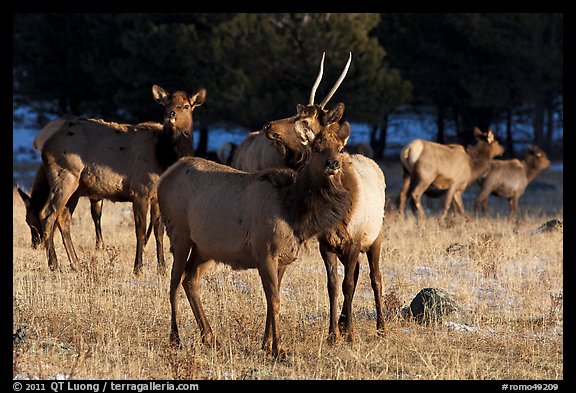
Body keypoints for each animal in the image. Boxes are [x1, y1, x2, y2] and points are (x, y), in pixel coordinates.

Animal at [36, 83, 207, 272]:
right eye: (166, 105)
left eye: (186, 106)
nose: (170, 115)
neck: (164, 158)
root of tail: (45, 147)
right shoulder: (140, 191)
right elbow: (140, 231)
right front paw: (138, 268)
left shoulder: (156, 197)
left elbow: (159, 231)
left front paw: (161, 267)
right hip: (64, 176)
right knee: (47, 214)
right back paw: (54, 264)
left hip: (76, 188)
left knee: (63, 218)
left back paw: (76, 263)